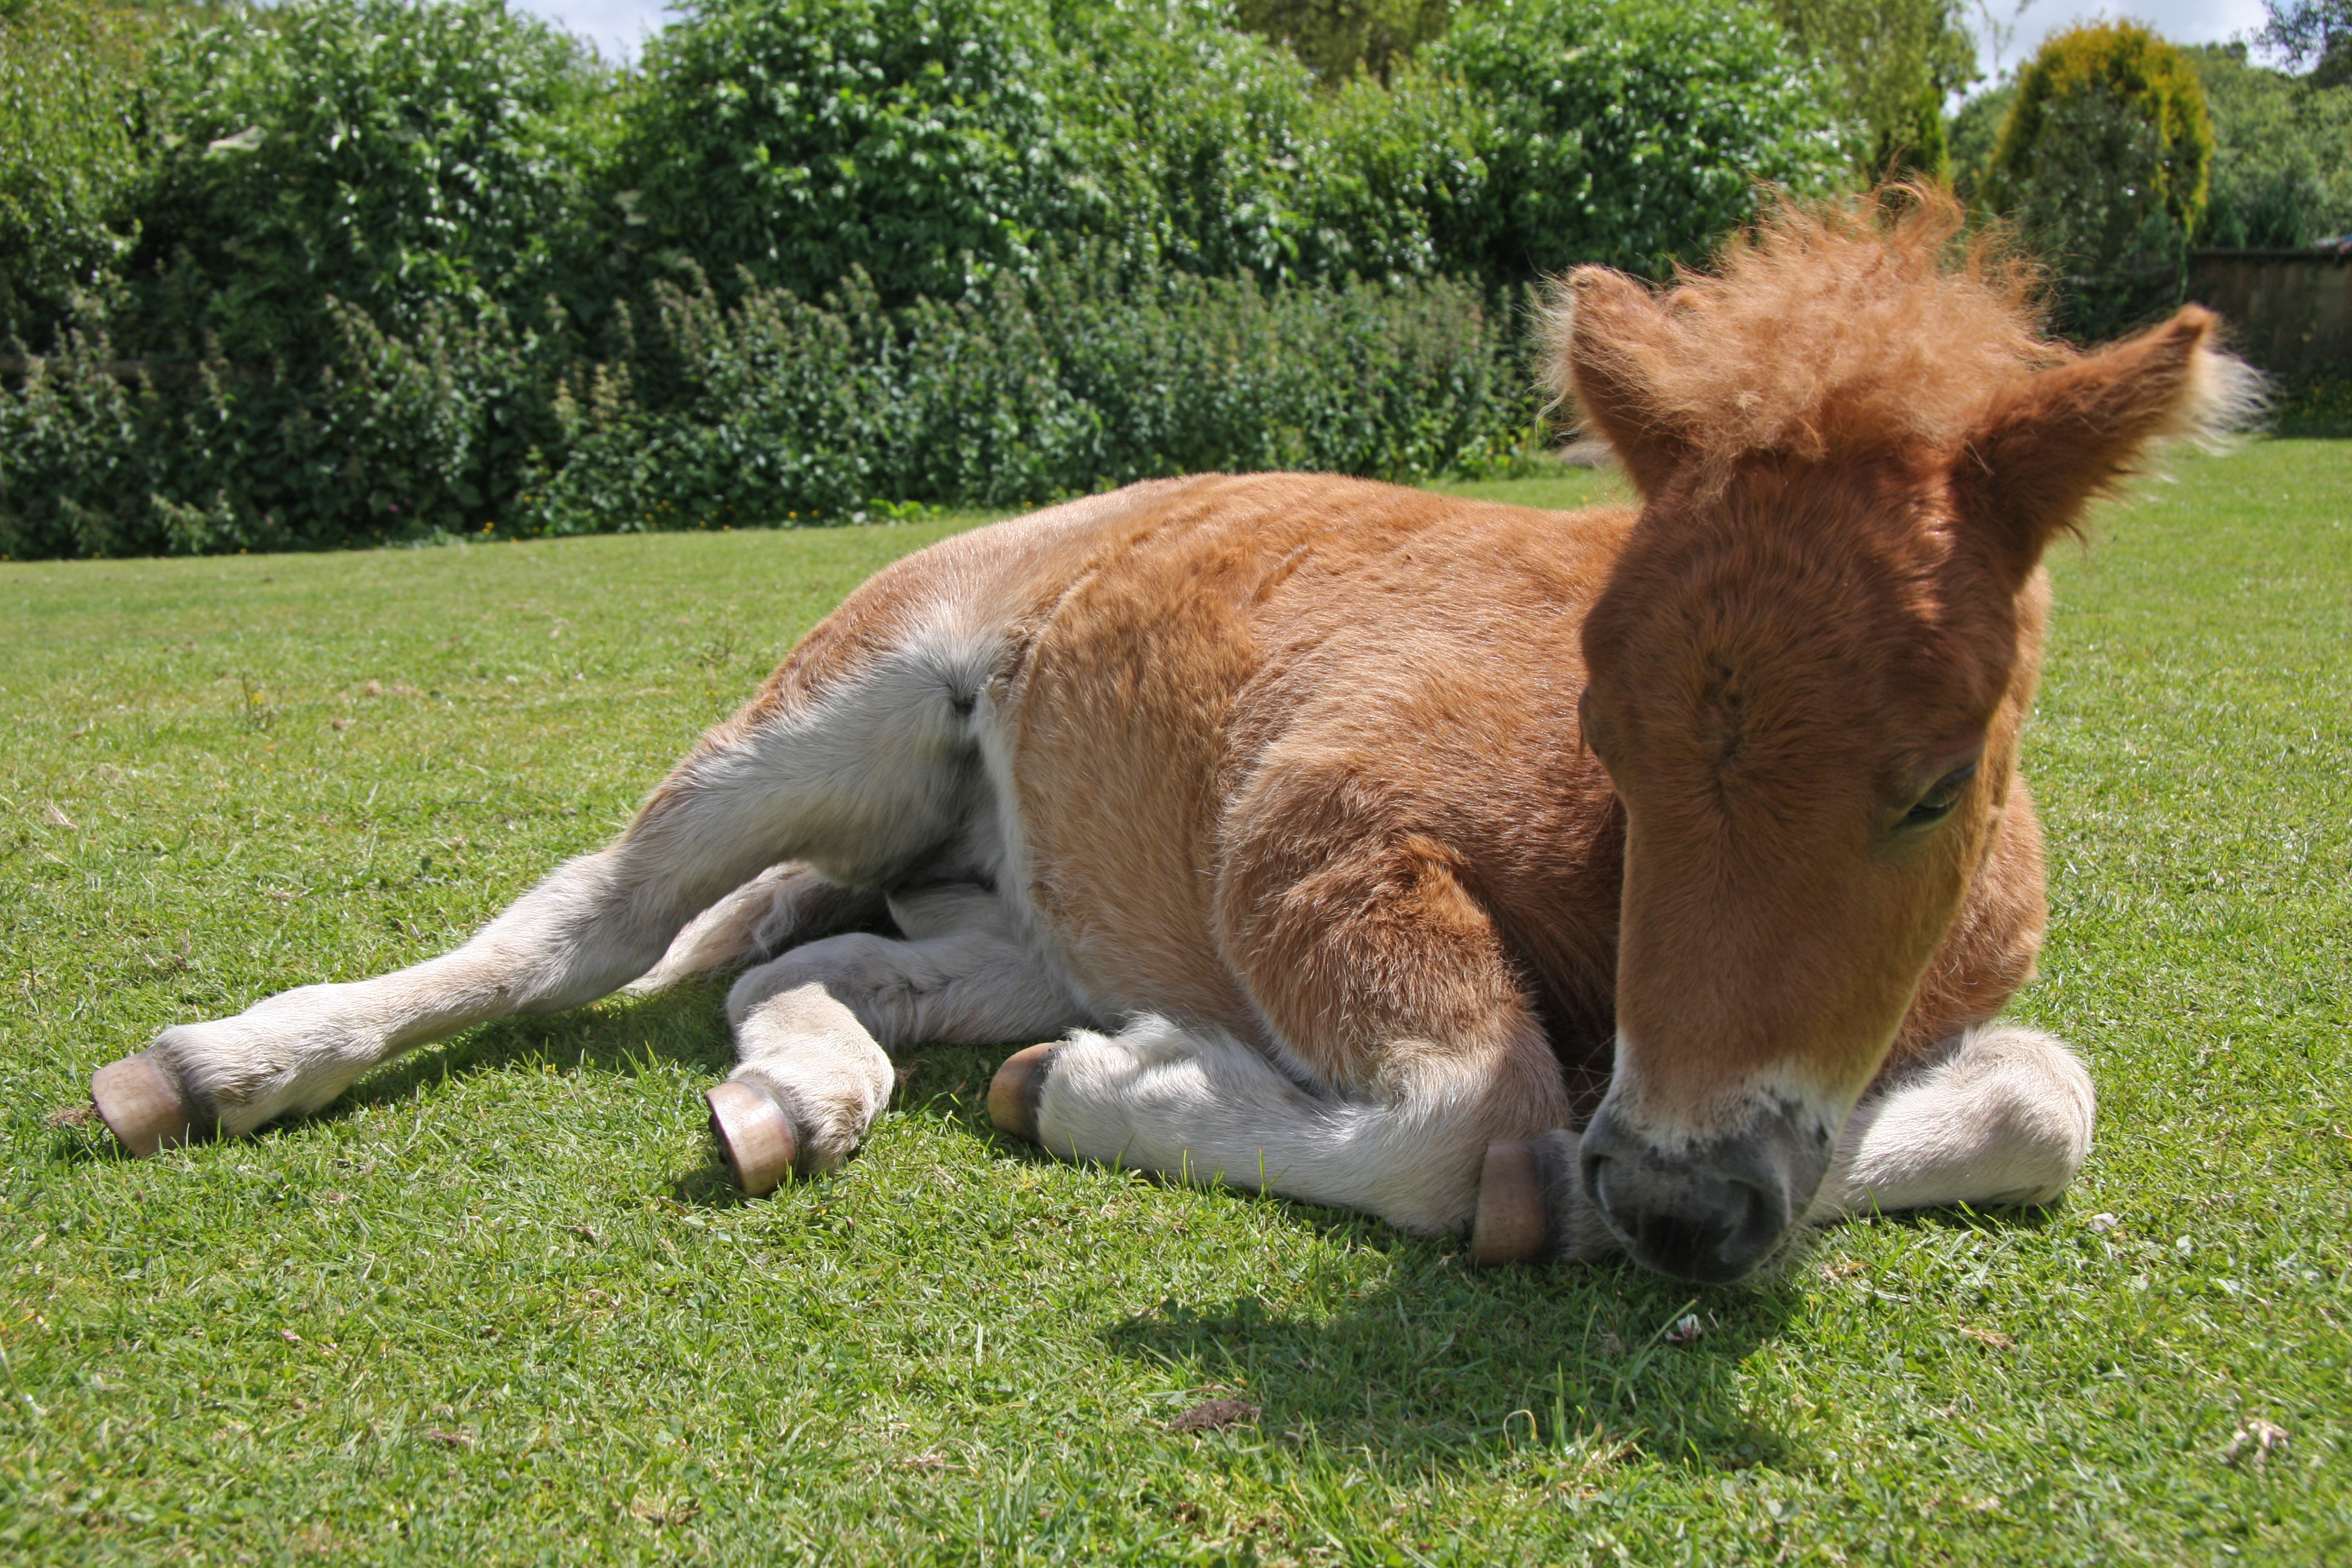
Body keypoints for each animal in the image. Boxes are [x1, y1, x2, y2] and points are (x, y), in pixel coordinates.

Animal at [96, 190, 2258, 1279]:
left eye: (1938, 779)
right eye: (1605, 737)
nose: (1686, 1208)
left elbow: (2041, 1102)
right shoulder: (1313, 829)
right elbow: (1479, 1130)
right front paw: (1103, 1097)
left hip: (1022, 905)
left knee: (805, 967)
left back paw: (802, 1095)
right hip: (838, 712)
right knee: (588, 927)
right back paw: (207, 1070)